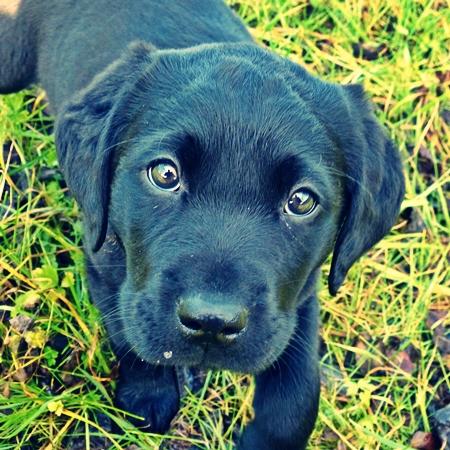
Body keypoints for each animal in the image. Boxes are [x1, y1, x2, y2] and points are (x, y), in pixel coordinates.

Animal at [0, 1, 406, 448]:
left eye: (301, 201)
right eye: (164, 174)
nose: (212, 323)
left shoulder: (300, 295)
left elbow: (298, 391)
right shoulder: (105, 264)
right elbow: (129, 335)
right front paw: (148, 395)